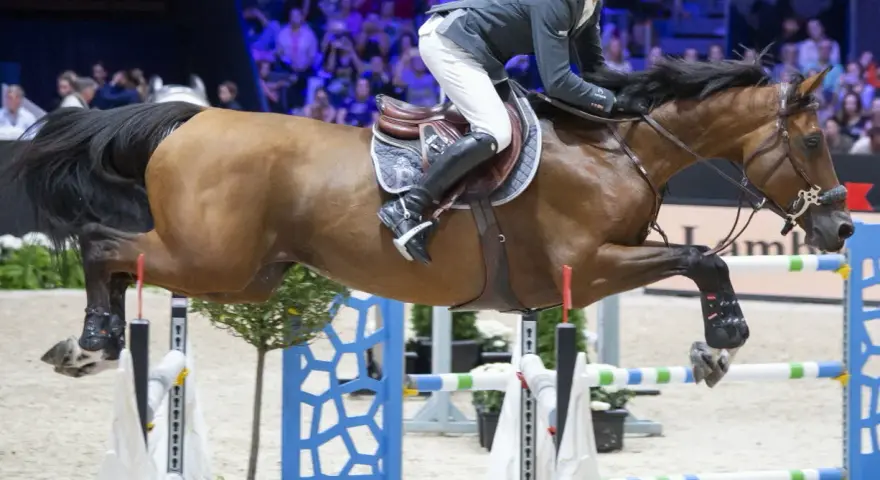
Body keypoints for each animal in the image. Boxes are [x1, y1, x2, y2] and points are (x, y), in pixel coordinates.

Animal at [7, 58, 852, 386]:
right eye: (814, 141)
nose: (842, 231)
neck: (620, 149)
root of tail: (189, 118)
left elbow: (699, 260)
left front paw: (712, 347)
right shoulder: (588, 265)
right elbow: (704, 259)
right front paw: (721, 344)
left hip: (247, 275)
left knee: (120, 256)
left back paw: (92, 344)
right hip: (213, 258)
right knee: (102, 242)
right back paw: (90, 345)